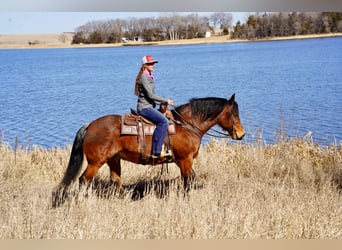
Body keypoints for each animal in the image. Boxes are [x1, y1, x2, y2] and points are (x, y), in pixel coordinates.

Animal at [52, 93, 244, 206]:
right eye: (234, 114)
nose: (241, 134)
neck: (186, 125)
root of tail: (89, 125)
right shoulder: (185, 160)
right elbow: (188, 181)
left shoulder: (183, 162)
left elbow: (189, 179)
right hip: (95, 162)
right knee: (84, 180)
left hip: (113, 159)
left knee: (116, 179)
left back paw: (125, 200)